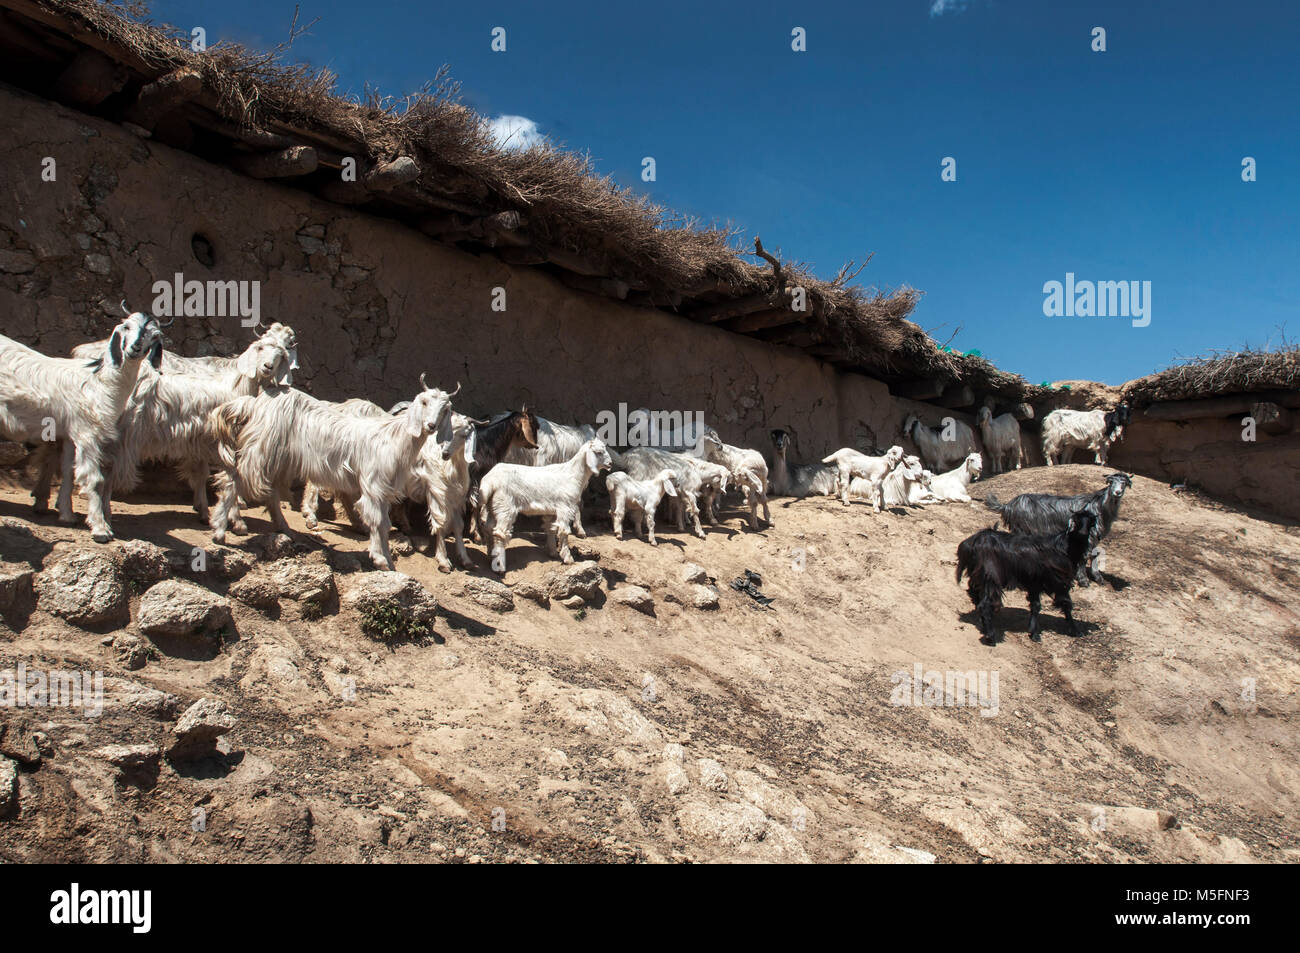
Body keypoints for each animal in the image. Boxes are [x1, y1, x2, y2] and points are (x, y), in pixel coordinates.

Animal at [480, 436, 611, 572]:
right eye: (599, 452)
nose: (610, 464)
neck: (573, 475)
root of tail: (490, 480)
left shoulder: (551, 510)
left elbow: (551, 529)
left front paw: (553, 552)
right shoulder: (565, 507)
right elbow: (564, 531)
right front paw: (568, 559)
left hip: (492, 506)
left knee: (488, 528)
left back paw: (490, 555)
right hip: (505, 507)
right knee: (499, 533)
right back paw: (499, 565)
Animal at [956, 504, 1097, 647]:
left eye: (1091, 521)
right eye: (1077, 520)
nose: (1082, 533)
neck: (1065, 547)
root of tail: (970, 544)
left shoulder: (1035, 582)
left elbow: (1036, 606)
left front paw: (1034, 633)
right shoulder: (1059, 582)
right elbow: (1066, 604)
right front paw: (1076, 631)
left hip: (978, 575)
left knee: (975, 596)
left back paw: (984, 626)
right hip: (990, 575)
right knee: (985, 604)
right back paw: (991, 637)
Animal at [982, 473, 1128, 582]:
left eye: (1124, 483)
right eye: (1111, 482)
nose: (1117, 492)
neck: (1099, 507)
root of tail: (1008, 506)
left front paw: (1096, 577)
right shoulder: (1089, 536)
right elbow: (1086, 556)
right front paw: (1084, 580)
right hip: (1022, 529)